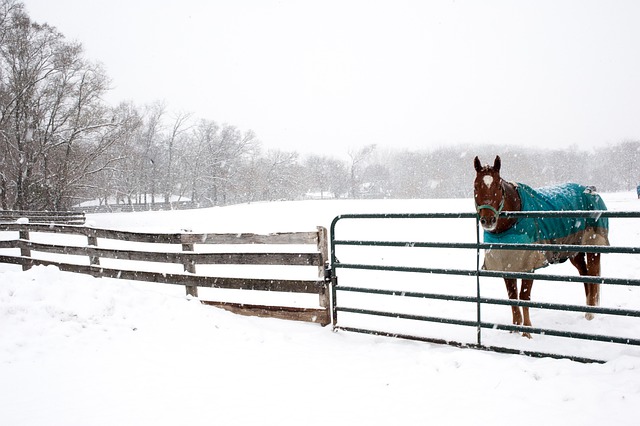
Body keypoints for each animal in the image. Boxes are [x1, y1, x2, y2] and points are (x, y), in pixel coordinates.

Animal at [472, 155, 608, 338]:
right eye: (475, 185)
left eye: (499, 186)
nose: (488, 220)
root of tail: (591, 191)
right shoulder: (507, 264)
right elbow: (512, 296)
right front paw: (515, 329)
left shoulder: (529, 265)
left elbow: (524, 295)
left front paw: (527, 332)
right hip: (575, 253)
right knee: (584, 276)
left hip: (593, 248)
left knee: (592, 278)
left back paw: (590, 315)